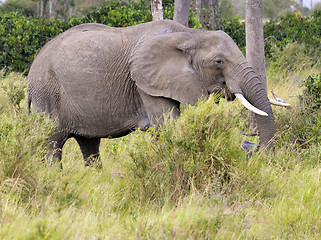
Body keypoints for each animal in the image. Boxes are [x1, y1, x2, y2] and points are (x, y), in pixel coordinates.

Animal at [27, 19, 278, 169]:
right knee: (53, 142)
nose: (260, 157)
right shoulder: (143, 82)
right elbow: (168, 125)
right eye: (218, 62)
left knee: (89, 145)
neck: (189, 34)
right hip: (46, 92)